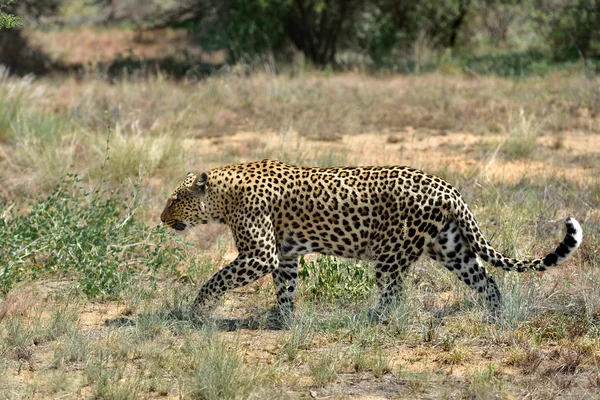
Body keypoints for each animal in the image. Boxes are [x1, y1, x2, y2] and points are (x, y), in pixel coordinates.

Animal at [159, 159, 580, 318]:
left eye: (174, 199)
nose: (162, 218)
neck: (223, 196)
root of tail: (447, 187)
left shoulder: (261, 254)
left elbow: (217, 279)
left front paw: (197, 311)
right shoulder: (285, 255)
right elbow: (285, 288)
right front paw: (283, 319)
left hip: (392, 255)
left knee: (394, 294)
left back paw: (373, 320)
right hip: (451, 248)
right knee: (488, 281)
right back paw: (496, 317)